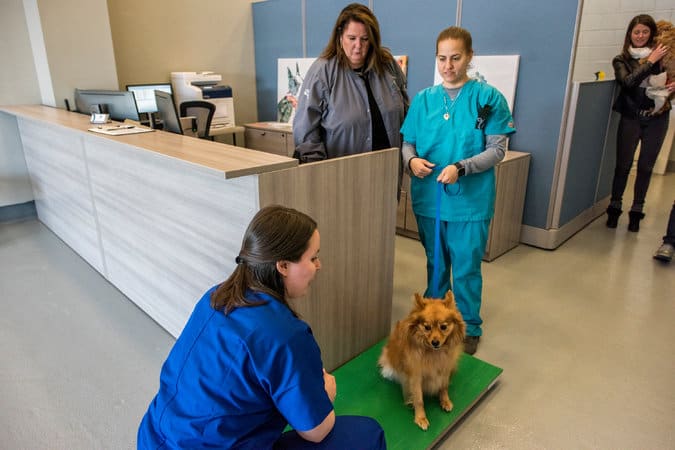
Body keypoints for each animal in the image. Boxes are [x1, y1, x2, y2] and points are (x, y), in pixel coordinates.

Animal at [378, 290, 468, 430]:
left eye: (443, 327)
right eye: (427, 327)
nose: (435, 342)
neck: (434, 353)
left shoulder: (445, 369)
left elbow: (444, 387)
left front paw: (445, 401)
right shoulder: (416, 377)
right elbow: (419, 399)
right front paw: (420, 418)